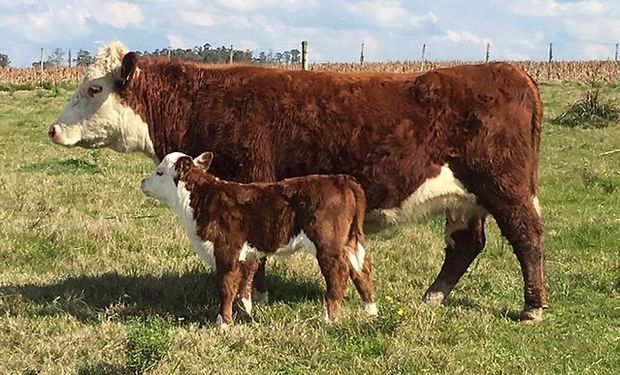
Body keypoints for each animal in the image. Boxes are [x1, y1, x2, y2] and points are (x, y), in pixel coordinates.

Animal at [140, 151, 378, 328]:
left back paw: (329, 320)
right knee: (362, 269)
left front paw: (223, 323)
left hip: (327, 244)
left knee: (339, 273)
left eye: (159, 172)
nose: (143, 182)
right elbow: (244, 285)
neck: (202, 200)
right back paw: (371, 312)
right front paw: (245, 313)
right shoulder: (245, 255)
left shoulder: (227, 251)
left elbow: (225, 287)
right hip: (351, 241)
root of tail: (341, 179)